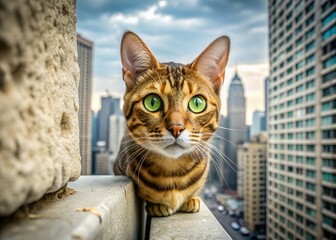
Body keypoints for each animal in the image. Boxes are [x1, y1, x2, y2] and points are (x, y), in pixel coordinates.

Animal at [114, 31, 230, 217]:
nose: (176, 128)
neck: (173, 173)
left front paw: (191, 198)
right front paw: (156, 205)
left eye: (197, 103)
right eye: (152, 102)